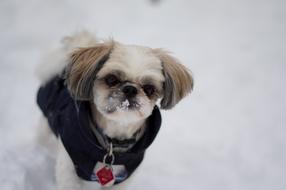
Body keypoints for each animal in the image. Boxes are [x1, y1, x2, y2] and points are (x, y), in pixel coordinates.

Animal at [35, 31, 192, 189]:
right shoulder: (70, 169)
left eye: (149, 88)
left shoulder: (122, 178)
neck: (112, 144)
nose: (130, 89)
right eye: (111, 79)